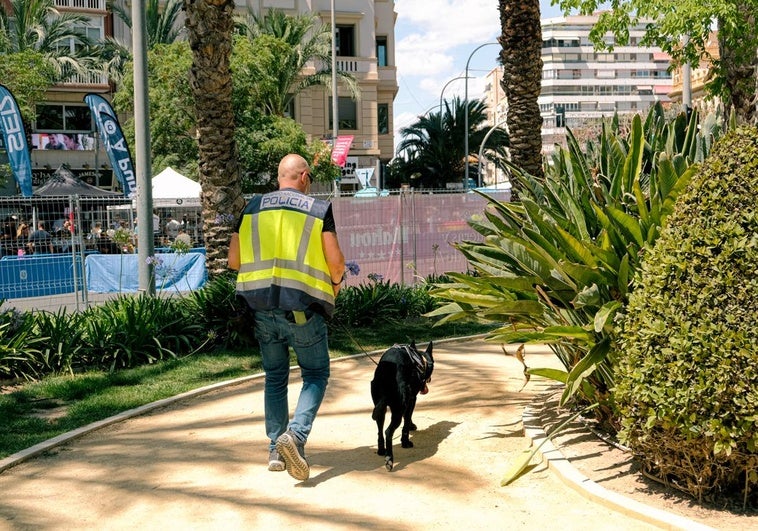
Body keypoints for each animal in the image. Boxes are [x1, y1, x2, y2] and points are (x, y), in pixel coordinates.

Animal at [372, 342, 436, 472]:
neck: (420, 359)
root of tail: (385, 372)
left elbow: (408, 418)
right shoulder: (412, 400)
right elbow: (407, 420)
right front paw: (405, 441)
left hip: (379, 408)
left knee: (380, 430)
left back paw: (381, 450)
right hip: (398, 408)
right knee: (388, 432)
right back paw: (389, 459)